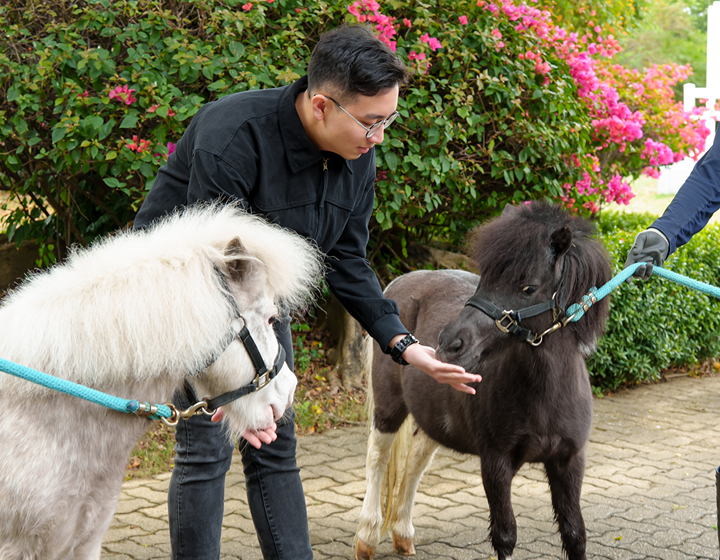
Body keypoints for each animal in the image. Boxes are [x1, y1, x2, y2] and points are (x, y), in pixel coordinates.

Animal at [356, 202, 611, 560]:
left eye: (528, 288)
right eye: (485, 280)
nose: (449, 343)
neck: (544, 397)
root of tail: (399, 285)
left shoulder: (569, 462)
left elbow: (574, 534)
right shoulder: (495, 464)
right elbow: (505, 535)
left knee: (416, 460)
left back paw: (403, 533)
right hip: (389, 408)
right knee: (377, 459)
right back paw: (367, 536)